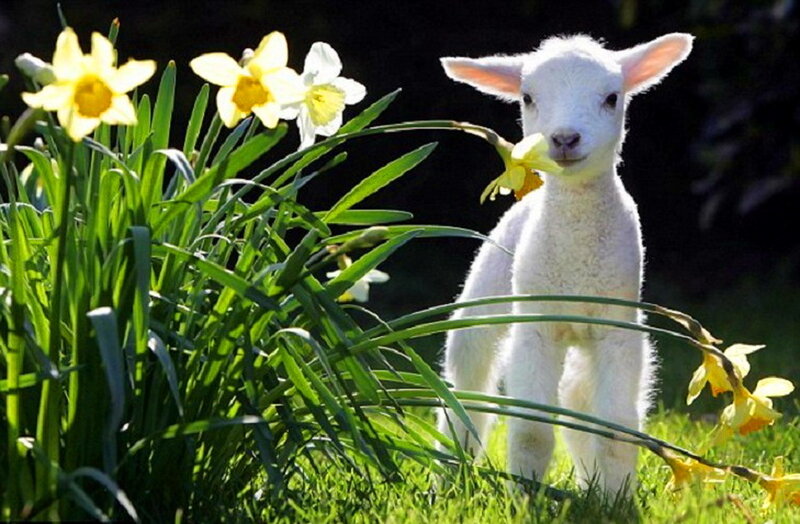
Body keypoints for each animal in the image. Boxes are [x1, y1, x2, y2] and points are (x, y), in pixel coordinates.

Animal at [437, 33, 694, 496]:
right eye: (527, 97)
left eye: (611, 97)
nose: (564, 138)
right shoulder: (535, 327)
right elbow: (531, 431)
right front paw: (524, 496)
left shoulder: (618, 329)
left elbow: (614, 430)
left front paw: (616, 499)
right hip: (483, 299)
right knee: (466, 388)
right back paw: (447, 476)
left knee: (577, 397)